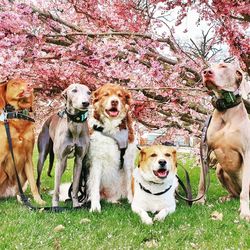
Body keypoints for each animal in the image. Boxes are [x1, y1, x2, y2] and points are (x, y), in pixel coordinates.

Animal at [197, 62, 250, 221]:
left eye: (223, 66)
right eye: (209, 66)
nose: (206, 72)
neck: (226, 109)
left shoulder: (247, 152)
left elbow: (245, 192)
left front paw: (245, 212)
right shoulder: (205, 150)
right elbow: (202, 181)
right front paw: (200, 201)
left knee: (243, 191)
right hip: (219, 169)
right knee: (236, 194)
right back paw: (227, 197)